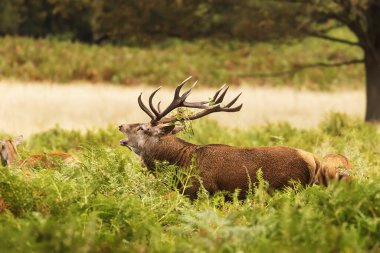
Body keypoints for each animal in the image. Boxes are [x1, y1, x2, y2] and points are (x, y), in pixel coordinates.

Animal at [119, 76, 324, 199]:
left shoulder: (200, 192)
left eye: (142, 128)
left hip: (290, 188)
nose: (121, 125)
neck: (180, 164)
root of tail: (313, 159)